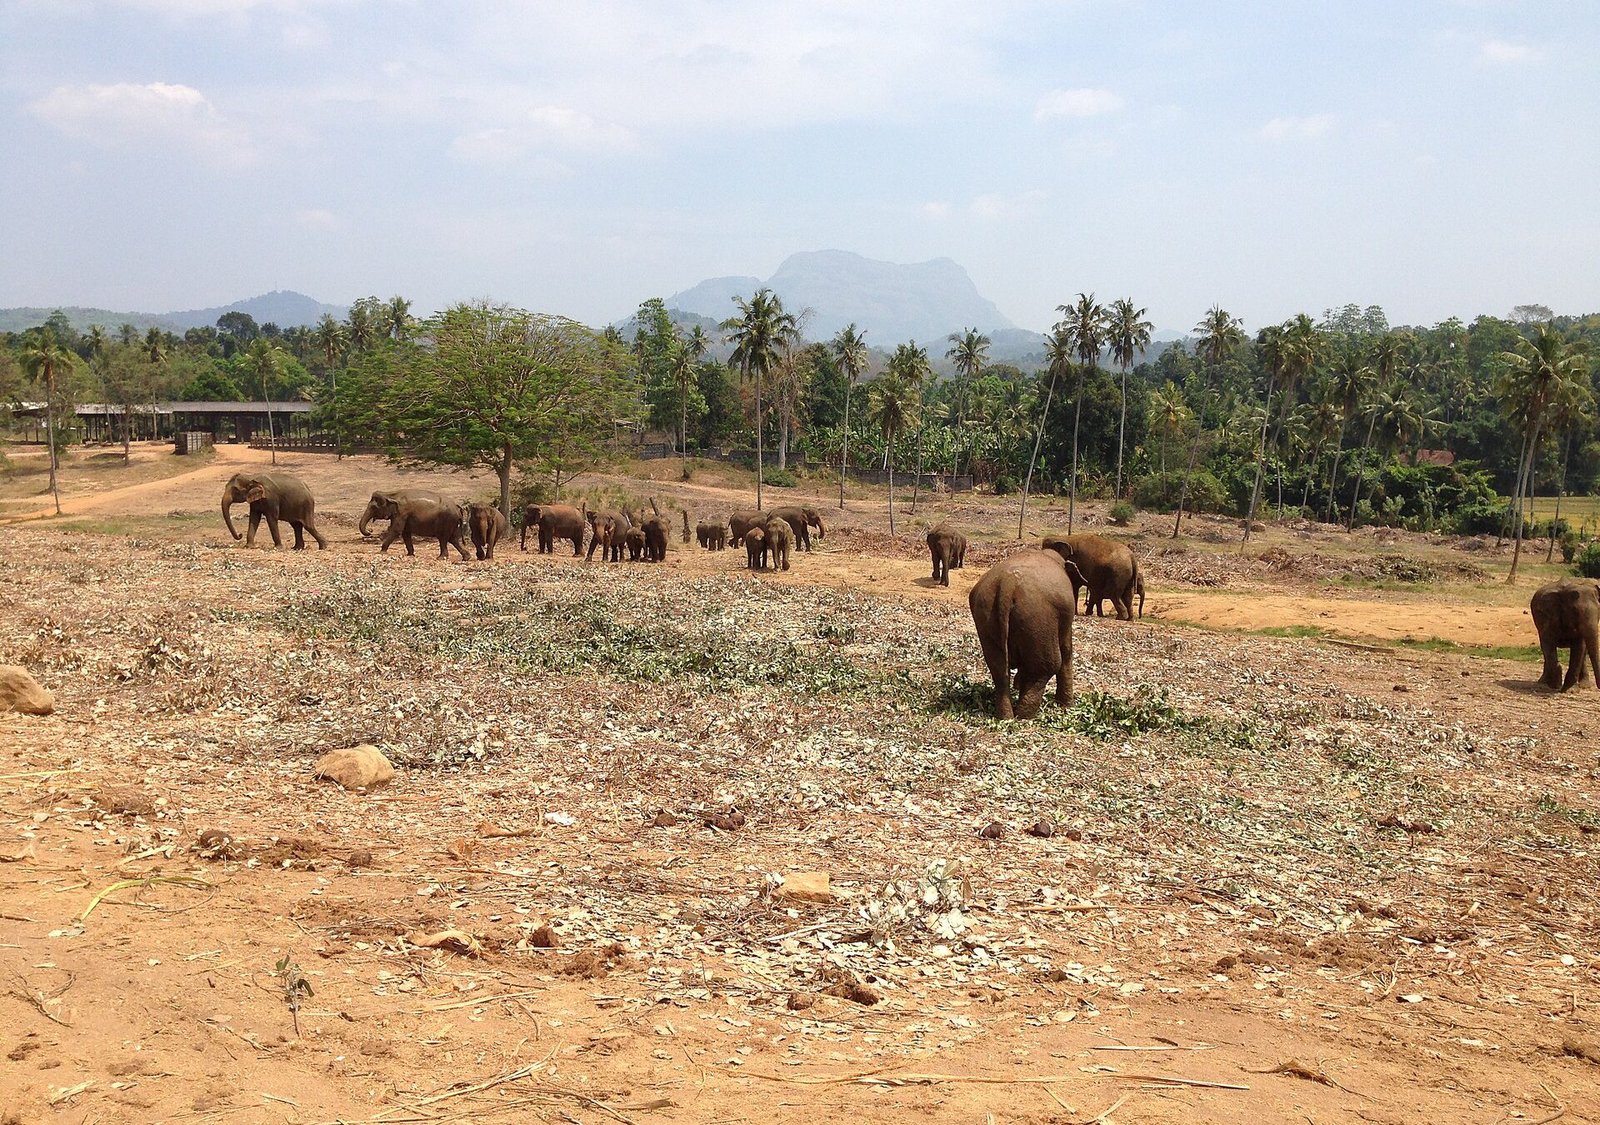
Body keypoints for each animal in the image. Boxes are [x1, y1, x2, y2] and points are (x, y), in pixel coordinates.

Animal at [968, 548, 1083, 720]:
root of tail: (1008, 583)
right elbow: (1067, 650)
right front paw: (1067, 706)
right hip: (1038, 617)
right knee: (1046, 666)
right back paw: (1024, 716)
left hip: (986, 615)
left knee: (999, 670)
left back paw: (1006, 717)